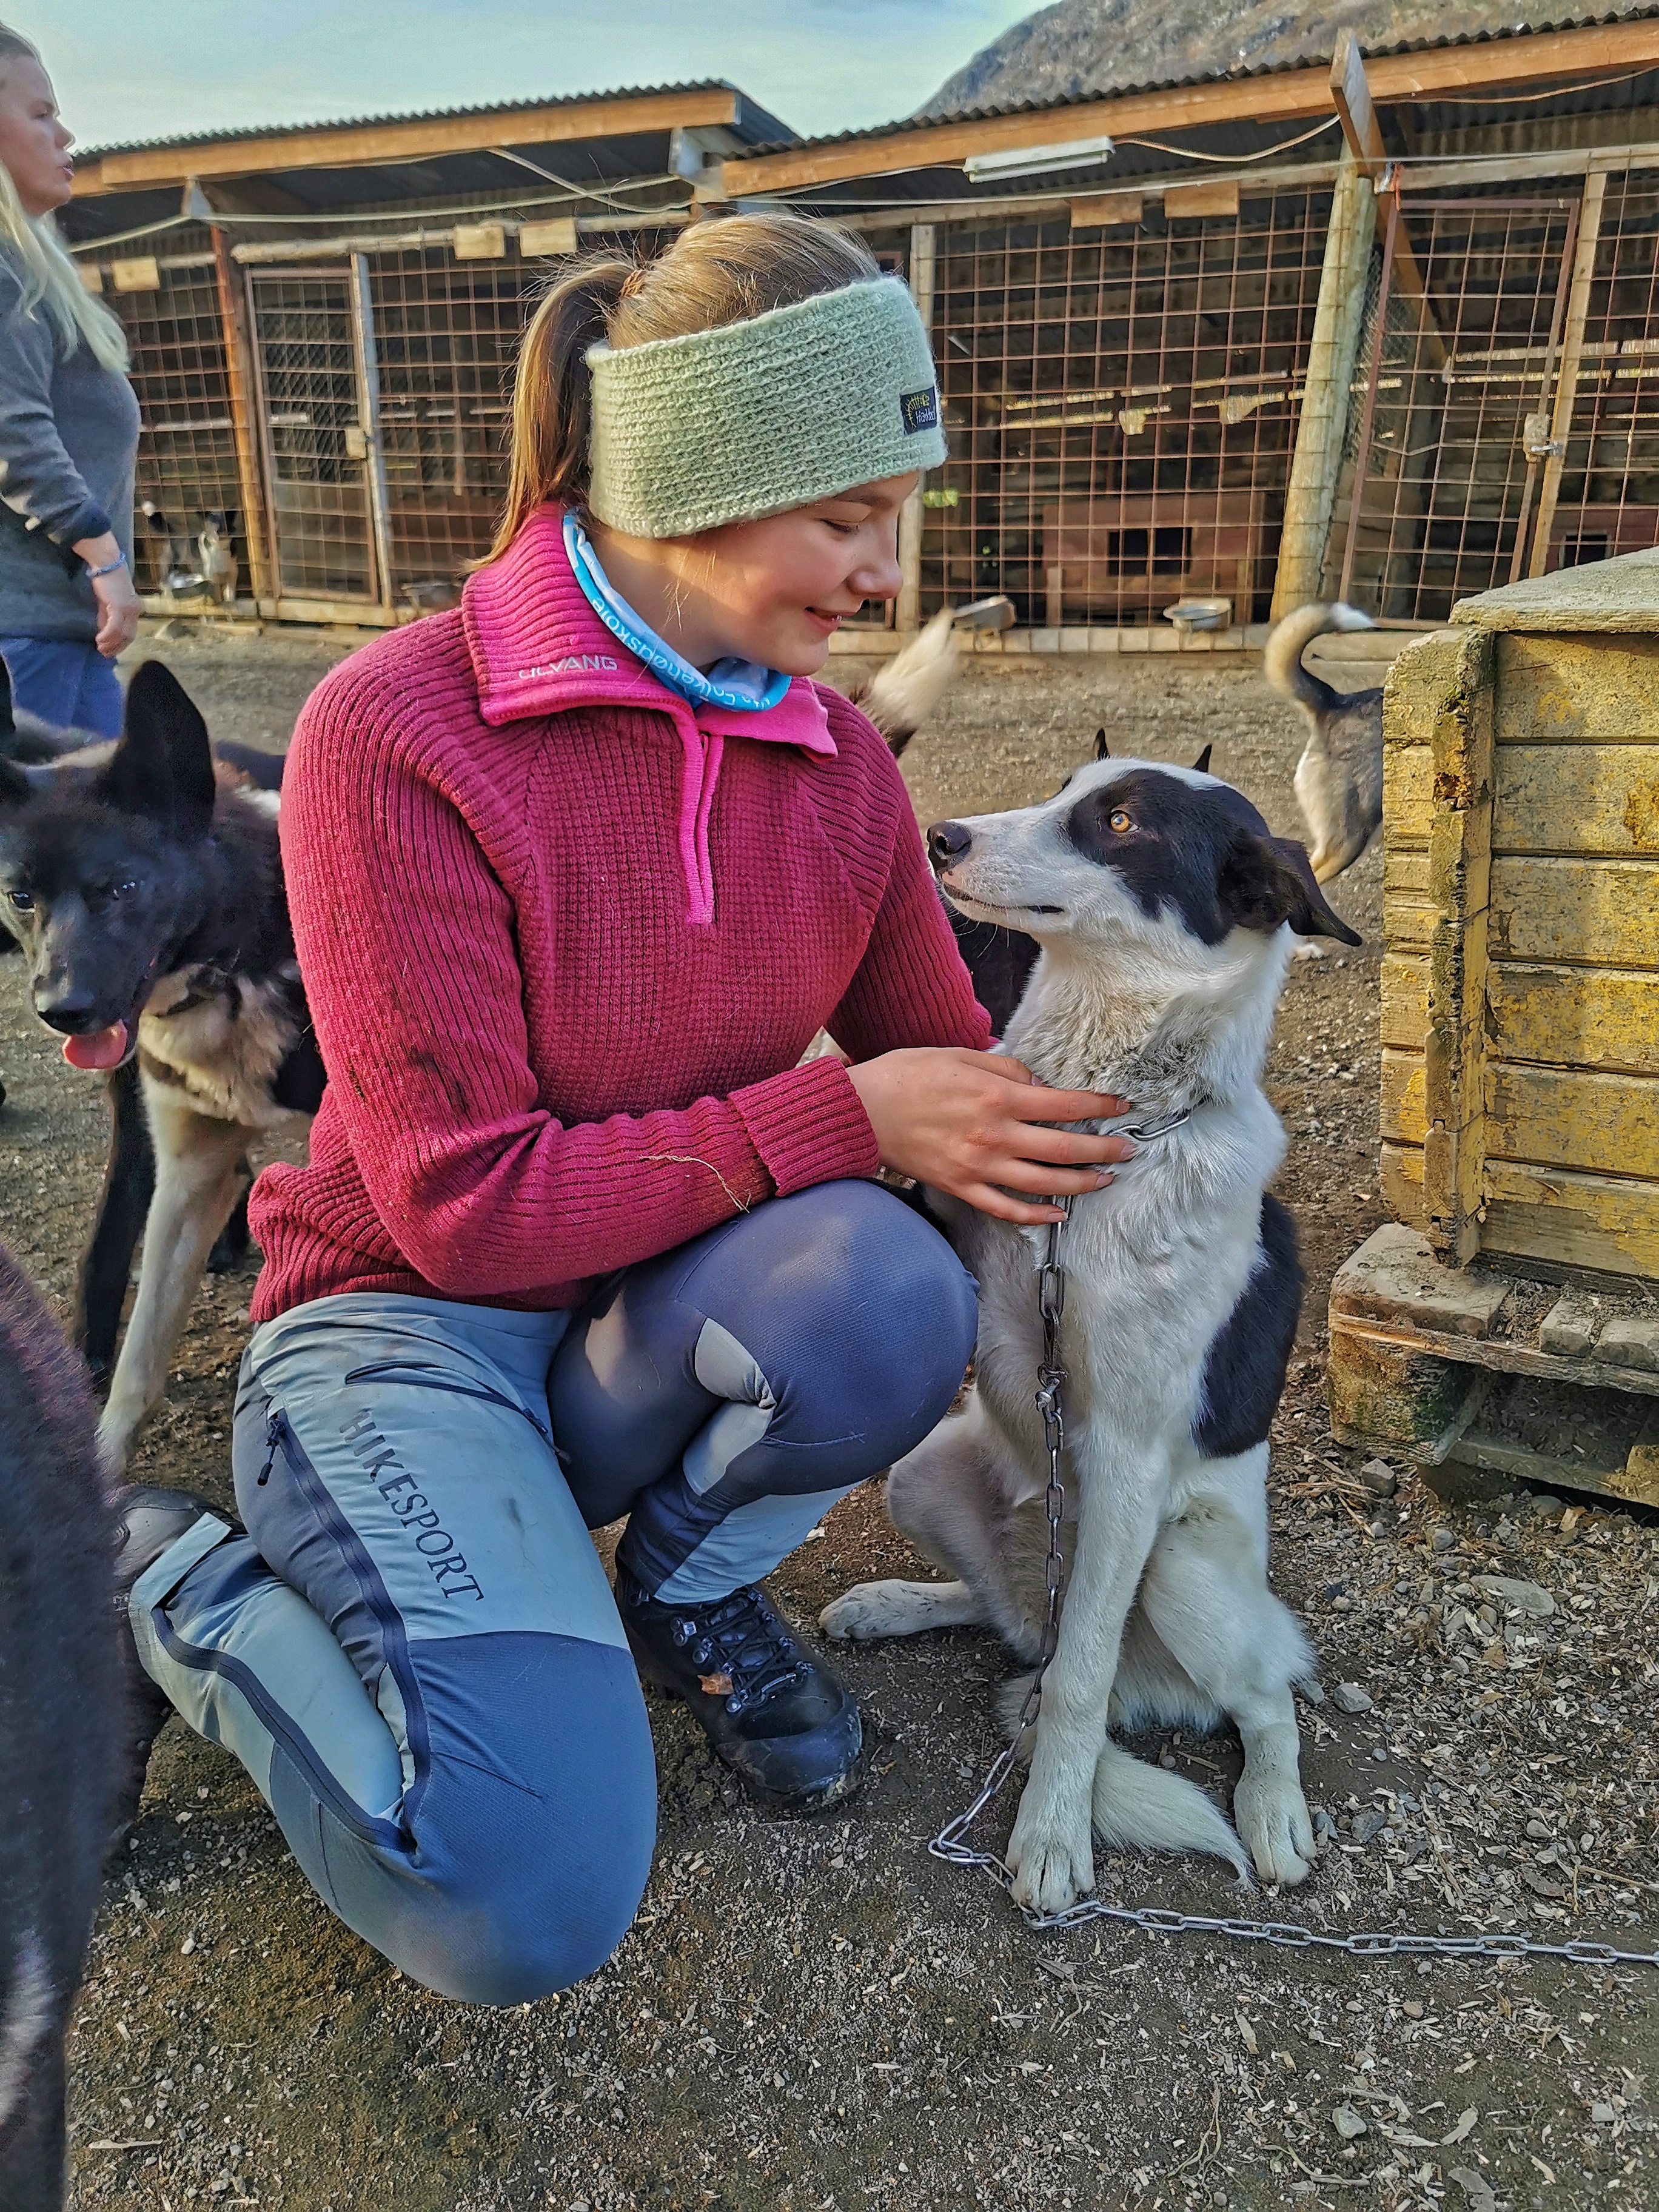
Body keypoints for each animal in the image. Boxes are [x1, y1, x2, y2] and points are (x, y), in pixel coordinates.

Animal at [0, 663, 323, 1477]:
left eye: (122, 887)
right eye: (21, 896)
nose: (61, 1010)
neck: (239, 961)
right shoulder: (185, 1170)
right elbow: (138, 1361)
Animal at [827, 752, 1353, 1911]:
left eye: (1118, 823)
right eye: (1069, 785)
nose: (940, 836)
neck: (1114, 1124)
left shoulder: (1124, 1455)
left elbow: (1074, 1686)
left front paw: (1052, 1835)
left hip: (1183, 1568)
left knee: (1246, 1697)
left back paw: (1274, 1809)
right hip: (924, 1477)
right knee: (1013, 1625)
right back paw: (896, 1605)